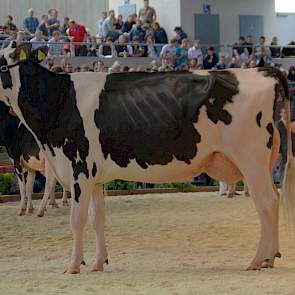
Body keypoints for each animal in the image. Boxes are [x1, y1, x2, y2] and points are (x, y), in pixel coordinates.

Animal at [0, 42, 294, 276]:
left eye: (2, 63)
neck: (59, 101)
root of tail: (262, 70)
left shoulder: (78, 169)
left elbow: (77, 220)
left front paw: (73, 265)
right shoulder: (94, 176)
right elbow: (97, 219)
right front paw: (98, 263)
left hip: (252, 159)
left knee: (266, 203)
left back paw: (258, 260)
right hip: (263, 162)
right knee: (275, 198)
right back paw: (271, 257)